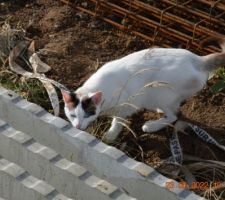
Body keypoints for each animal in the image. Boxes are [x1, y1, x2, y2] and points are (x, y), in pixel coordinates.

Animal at [61, 37, 225, 142]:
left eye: (87, 114)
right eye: (72, 115)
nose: (77, 126)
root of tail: (199, 60)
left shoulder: (125, 106)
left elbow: (117, 122)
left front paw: (110, 136)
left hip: (160, 91)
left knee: (175, 116)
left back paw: (151, 126)